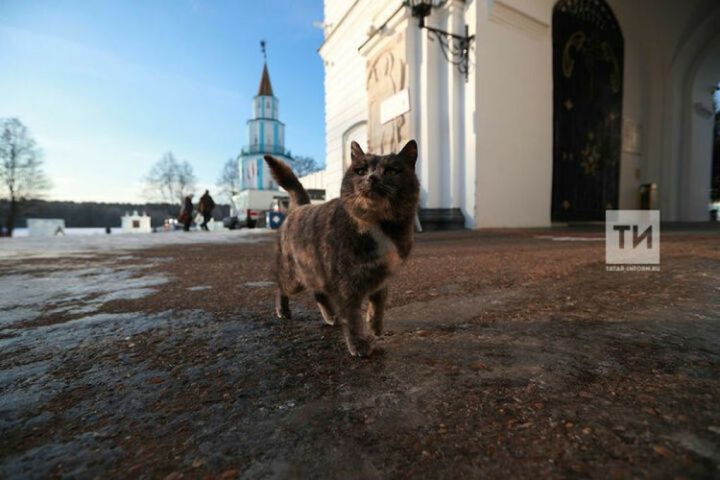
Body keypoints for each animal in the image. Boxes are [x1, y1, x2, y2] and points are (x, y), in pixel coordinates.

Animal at [262, 139, 422, 356]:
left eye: (390, 170)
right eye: (361, 170)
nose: (372, 178)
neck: (378, 224)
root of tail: (300, 207)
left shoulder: (383, 277)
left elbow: (379, 303)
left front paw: (375, 328)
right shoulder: (346, 284)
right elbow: (353, 317)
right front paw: (359, 344)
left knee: (318, 293)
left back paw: (331, 317)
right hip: (293, 278)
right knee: (281, 286)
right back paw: (283, 310)